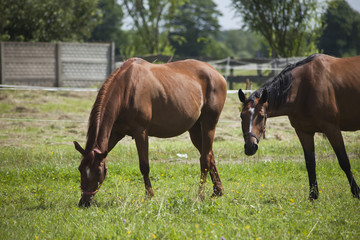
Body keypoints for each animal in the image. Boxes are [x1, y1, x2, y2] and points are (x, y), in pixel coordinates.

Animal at [73, 57, 226, 206]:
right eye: (80, 169)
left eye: (99, 172)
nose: (84, 202)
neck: (126, 89)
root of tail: (216, 73)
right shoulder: (115, 133)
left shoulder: (141, 132)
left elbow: (144, 166)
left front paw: (149, 196)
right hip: (194, 129)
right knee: (209, 156)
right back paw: (217, 191)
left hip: (208, 125)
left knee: (205, 160)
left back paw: (200, 195)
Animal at [239, 53, 360, 200]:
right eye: (241, 116)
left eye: (261, 116)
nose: (250, 147)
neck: (304, 88)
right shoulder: (304, 132)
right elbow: (310, 163)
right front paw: (313, 196)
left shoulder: (332, 129)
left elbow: (344, 161)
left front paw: (356, 193)